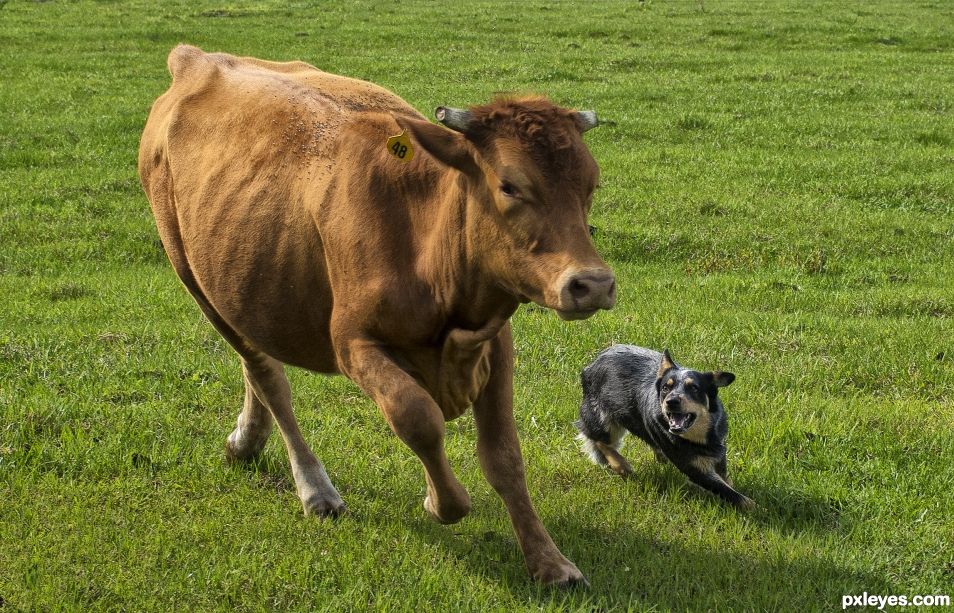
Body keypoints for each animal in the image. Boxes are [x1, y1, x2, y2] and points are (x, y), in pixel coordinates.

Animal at [138, 45, 616, 584]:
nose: (593, 284)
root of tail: (200, 59)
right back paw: (314, 487)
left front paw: (549, 561)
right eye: (510, 185)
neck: (424, 238)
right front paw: (440, 502)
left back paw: (246, 440)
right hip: (193, 277)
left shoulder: (495, 342)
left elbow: (505, 458)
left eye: (591, 184)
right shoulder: (353, 343)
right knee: (267, 375)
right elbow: (417, 418)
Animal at [572, 346, 752, 510]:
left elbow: (726, 480)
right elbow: (730, 493)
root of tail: (591, 364)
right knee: (598, 440)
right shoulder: (693, 467)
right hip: (602, 420)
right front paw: (753, 508)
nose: (671, 401)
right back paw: (621, 465)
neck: (700, 438)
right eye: (666, 387)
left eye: (694, 388)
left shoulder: (719, 451)